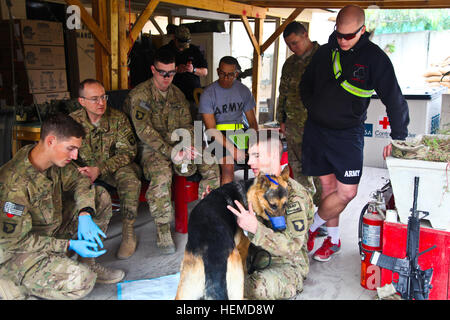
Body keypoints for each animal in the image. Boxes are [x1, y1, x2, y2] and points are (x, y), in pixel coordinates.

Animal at [174, 168, 290, 300]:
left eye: (285, 204)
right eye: (273, 205)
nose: (282, 229)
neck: (249, 192)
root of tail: (212, 257)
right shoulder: (243, 247)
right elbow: (245, 268)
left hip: (186, 286)